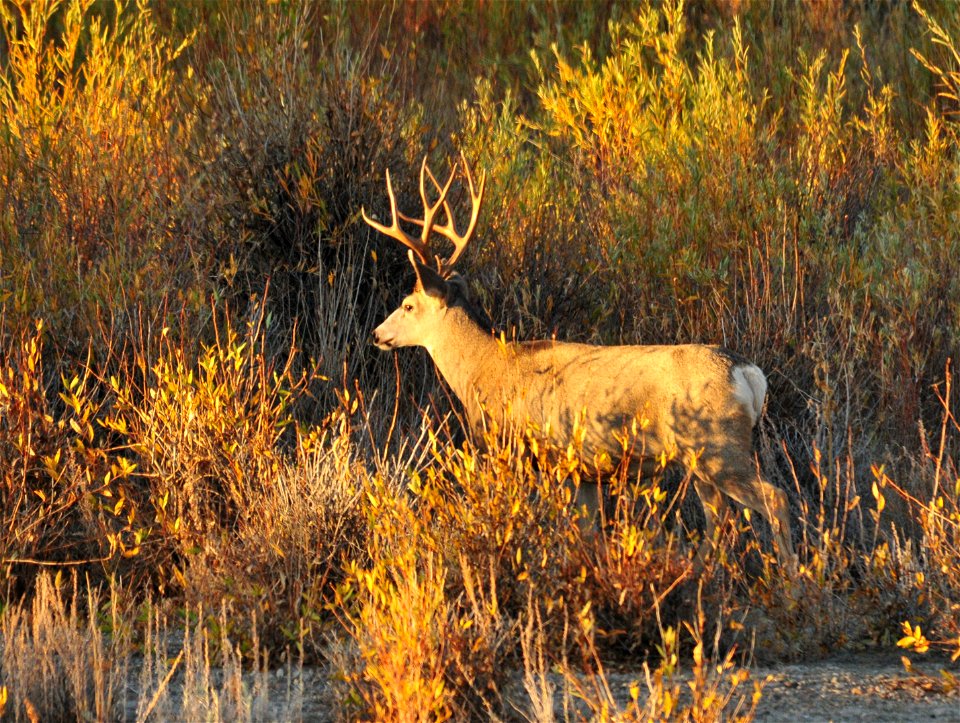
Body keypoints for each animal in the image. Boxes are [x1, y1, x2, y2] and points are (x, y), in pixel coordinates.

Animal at [360, 153, 796, 572]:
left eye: (408, 304)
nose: (377, 334)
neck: (483, 368)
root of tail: (748, 374)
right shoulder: (583, 471)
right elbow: (588, 530)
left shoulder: (517, 449)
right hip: (702, 457)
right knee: (719, 516)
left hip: (717, 445)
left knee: (773, 499)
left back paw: (790, 583)